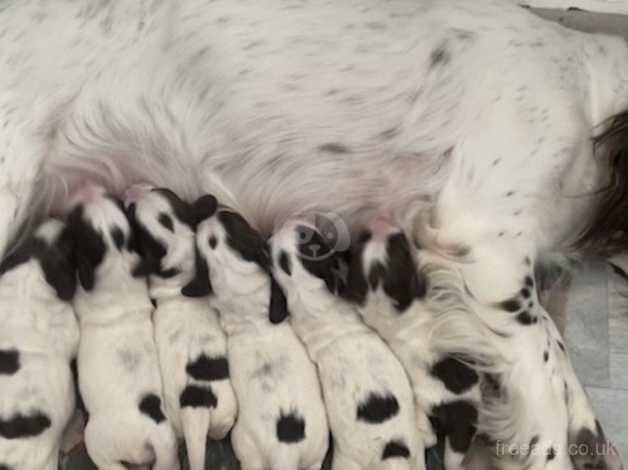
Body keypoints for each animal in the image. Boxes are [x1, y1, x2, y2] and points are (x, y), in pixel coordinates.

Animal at [68, 186, 179, 470]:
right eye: (113, 200)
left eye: (76, 219)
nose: (88, 187)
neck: (115, 257)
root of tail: (147, 435)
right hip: (167, 441)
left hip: (96, 441)